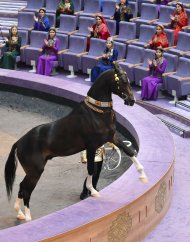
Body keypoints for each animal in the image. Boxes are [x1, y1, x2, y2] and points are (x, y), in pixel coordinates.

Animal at [3, 62, 148, 221]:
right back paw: (28, 217)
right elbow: (91, 169)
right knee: (26, 190)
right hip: (35, 171)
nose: (131, 101)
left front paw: (143, 176)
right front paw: (93, 191)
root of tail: (19, 142)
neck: (96, 113)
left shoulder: (112, 137)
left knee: (22, 188)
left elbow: (130, 151)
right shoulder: (91, 146)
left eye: (127, 80)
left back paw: (20, 213)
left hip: (32, 171)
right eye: (121, 81)